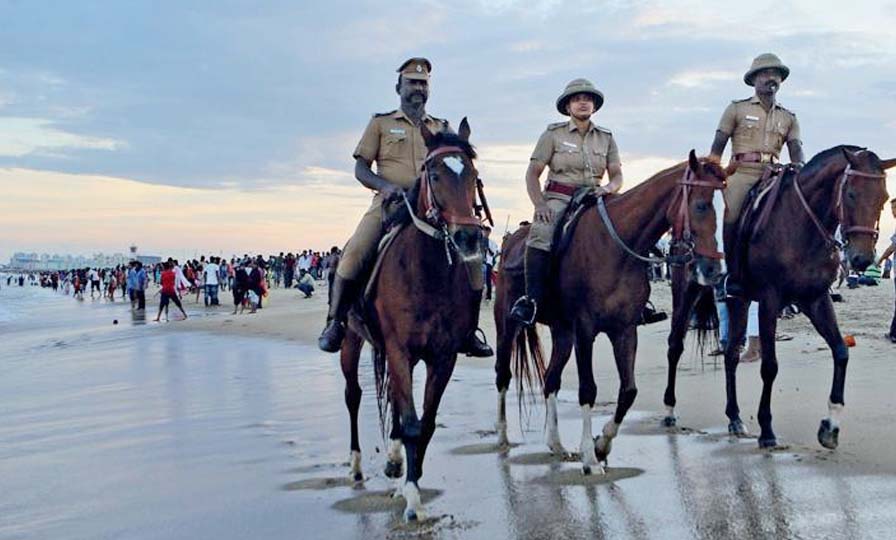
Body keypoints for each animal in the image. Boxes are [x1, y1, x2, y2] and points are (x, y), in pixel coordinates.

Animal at [340, 118, 486, 520]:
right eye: (434, 174)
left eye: (473, 175)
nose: (469, 237)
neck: (426, 272)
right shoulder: (399, 349)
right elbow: (409, 422)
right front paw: (413, 498)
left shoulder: (443, 357)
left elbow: (426, 423)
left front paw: (410, 481)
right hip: (351, 342)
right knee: (354, 395)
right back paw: (356, 465)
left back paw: (393, 462)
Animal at [494, 151, 732, 472]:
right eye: (701, 205)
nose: (714, 271)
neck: (615, 249)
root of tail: (510, 242)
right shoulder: (584, 331)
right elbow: (587, 390)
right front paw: (589, 456)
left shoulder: (624, 330)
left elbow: (628, 391)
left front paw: (602, 444)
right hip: (507, 325)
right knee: (503, 375)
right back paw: (502, 436)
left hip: (562, 333)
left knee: (551, 380)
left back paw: (556, 444)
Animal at [724, 147, 892, 448]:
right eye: (851, 193)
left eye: (883, 198)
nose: (861, 259)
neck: (802, 227)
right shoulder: (769, 301)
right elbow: (769, 366)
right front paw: (767, 430)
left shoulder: (815, 299)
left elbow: (841, 351)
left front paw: (831, 424)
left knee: (731, 354)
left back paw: (735, 417)